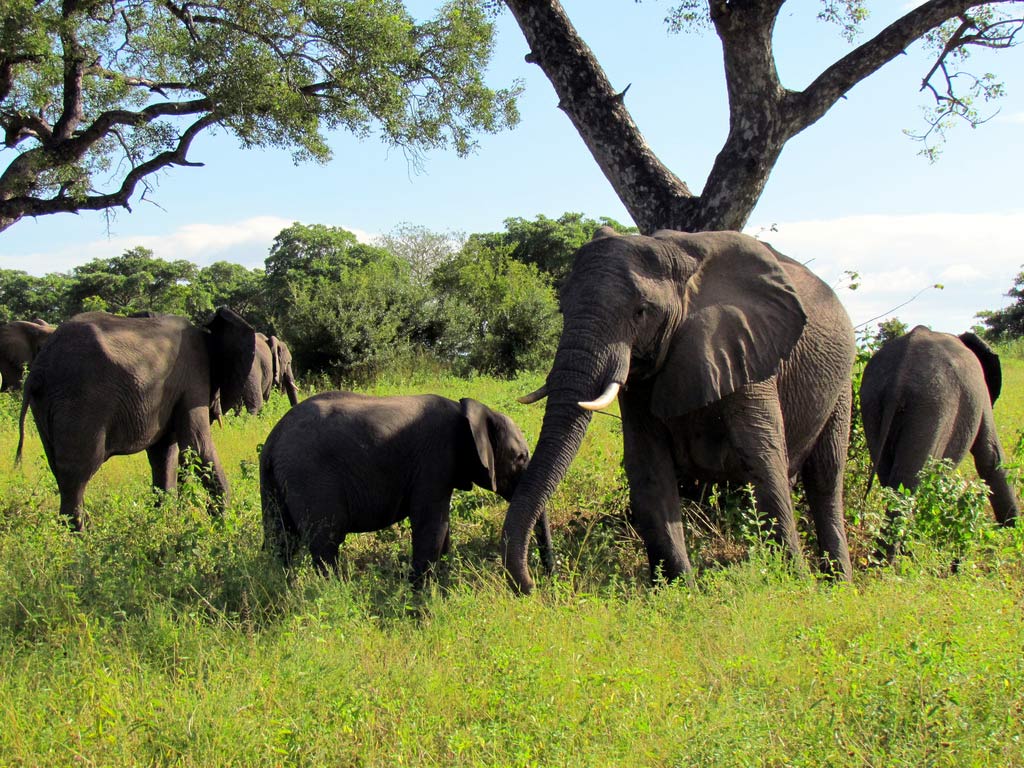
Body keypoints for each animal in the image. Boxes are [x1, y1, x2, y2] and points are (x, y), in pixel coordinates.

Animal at [260, 391, 557, 581]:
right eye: (520, 458)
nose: (541, 583)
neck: (470, 411)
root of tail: (274, 439)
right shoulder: (435, 460)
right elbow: (432, 527)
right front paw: (423, 599)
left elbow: (441, 531)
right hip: (310, 477)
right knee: (326, 543)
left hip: (274, 481)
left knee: (280, 541)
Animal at [503, 228, 856, 593]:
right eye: (563, 308)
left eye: (642, 312)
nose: (535, 583)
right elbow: (647, 464)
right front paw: (680, 590)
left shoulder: (747, 348)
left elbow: (762, 456)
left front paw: (795, 585)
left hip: (843, 384)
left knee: (826, 479)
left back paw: (839, 585)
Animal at [860, 325, 1019, 528]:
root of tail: (899, 376)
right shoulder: (981, 394)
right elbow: (991, 456)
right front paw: (1012, 528)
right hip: (933, 405)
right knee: (909, 479)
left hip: (872, 401)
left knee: (887, 474)